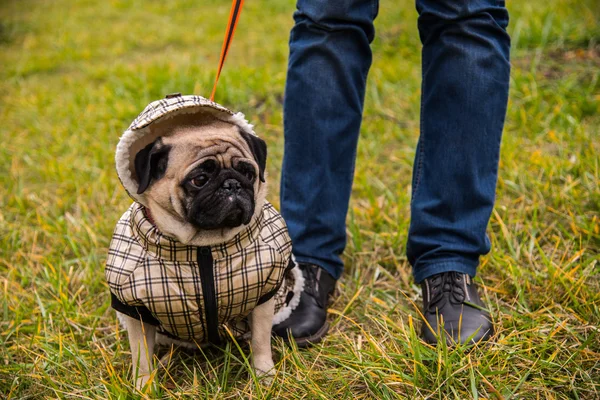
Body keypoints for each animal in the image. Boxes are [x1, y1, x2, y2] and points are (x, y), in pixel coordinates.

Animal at [105, 95, 302, 390]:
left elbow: (260, 341)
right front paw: (144, 387)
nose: (232, 184)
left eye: (248, 173)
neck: (203, 246)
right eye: (199, 179)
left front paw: (264, 375)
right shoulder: (136, 311)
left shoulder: (263, 296)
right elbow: (141, 356)